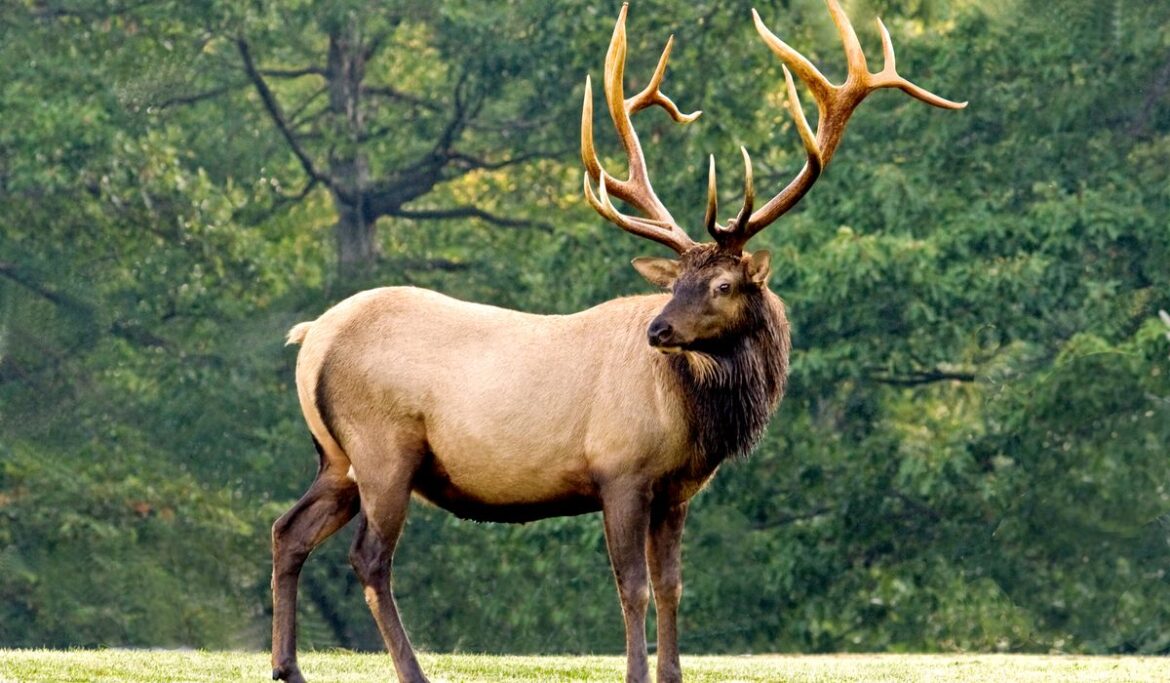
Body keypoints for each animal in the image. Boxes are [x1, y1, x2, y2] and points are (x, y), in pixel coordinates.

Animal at [270, 2, 964, 682]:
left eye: (719, 284)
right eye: (678, 282)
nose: (658, 330)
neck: (696, 417)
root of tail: (312, 338)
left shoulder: (675, 491)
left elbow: (673, 586)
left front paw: (672, 673)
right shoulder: (621, 471)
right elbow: (632, 587)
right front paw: (636, 672)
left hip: (336, 457)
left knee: (287, 529)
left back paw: (288, 667)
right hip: (384, 448)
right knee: (369, 558)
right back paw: (409, 670)